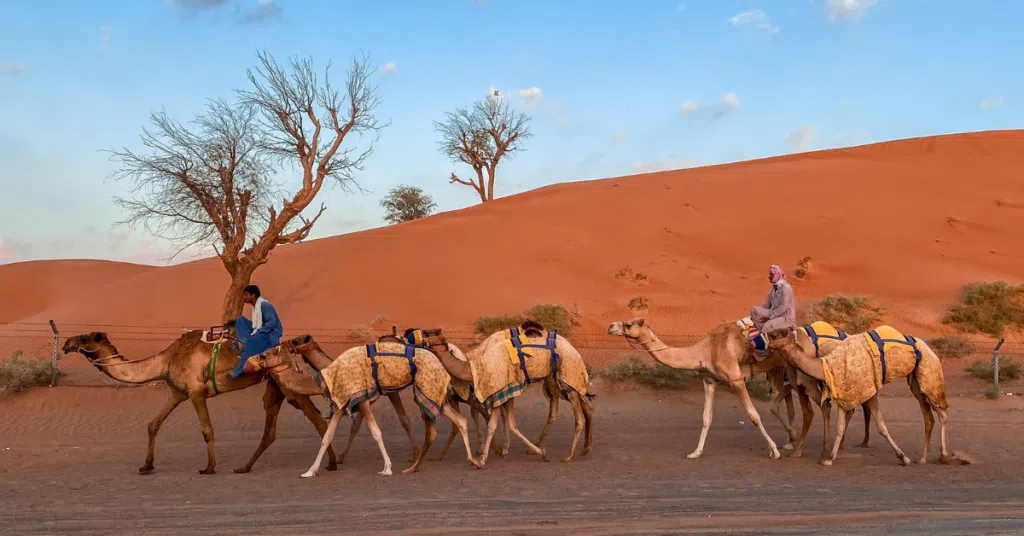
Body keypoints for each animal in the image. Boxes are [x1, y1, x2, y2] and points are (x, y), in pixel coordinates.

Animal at [61, 330, 337, 475]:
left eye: (85, 339)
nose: (66, 343)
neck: (166, 361)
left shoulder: (195, 392)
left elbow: (206, 429)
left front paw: (209, 467)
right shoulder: (177, 392)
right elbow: (153, 424)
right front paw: (146, 465)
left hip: (286, 384)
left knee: (317, 421)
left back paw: (332, 464)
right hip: (275, 386)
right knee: (271, 430)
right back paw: (244, 467)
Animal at [262, 336, 482, 477]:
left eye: (268, 354)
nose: (259, 357)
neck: (327, 372)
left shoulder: (363, 398)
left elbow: (376, 432)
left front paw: (387, 468)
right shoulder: (342, 402)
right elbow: (327, 437)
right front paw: (310, 471)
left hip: (429, 387)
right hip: (435, 392)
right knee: (460, 420)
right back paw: (470, 460)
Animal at [419, 327, 594, 464]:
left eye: (429, 333)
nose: (419, 337)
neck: (475, 368)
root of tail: (573, 349)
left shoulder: (501, 390)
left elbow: (497, 423)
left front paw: (485, 456)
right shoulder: (501, 393)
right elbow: (501, 423)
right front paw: (490, 453)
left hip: (567, 377)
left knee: (579, 417)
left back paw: (569, 455)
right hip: (558, 382)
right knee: (577, 408)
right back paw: (583, 449)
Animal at [607, 318, 782, 459]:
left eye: (629, 324)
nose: (610, 326)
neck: (706, 351)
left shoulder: (736, 378)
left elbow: (754, 415)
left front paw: (774, 450)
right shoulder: (710, 380)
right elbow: (706, 418)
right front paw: (695, 453)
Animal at [765, 325, 962, 466]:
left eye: (777, 334)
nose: (765, 337)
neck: (826, 365)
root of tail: (930, 349)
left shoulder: (868, 390)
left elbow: (881, 426)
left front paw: (903, 457)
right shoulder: (845, 391)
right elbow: (840, 426)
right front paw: (829, 459)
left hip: (930, 375)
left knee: (942, 412)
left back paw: (944, 455)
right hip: (917, 381)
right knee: (929, 418)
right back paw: (923, 458)